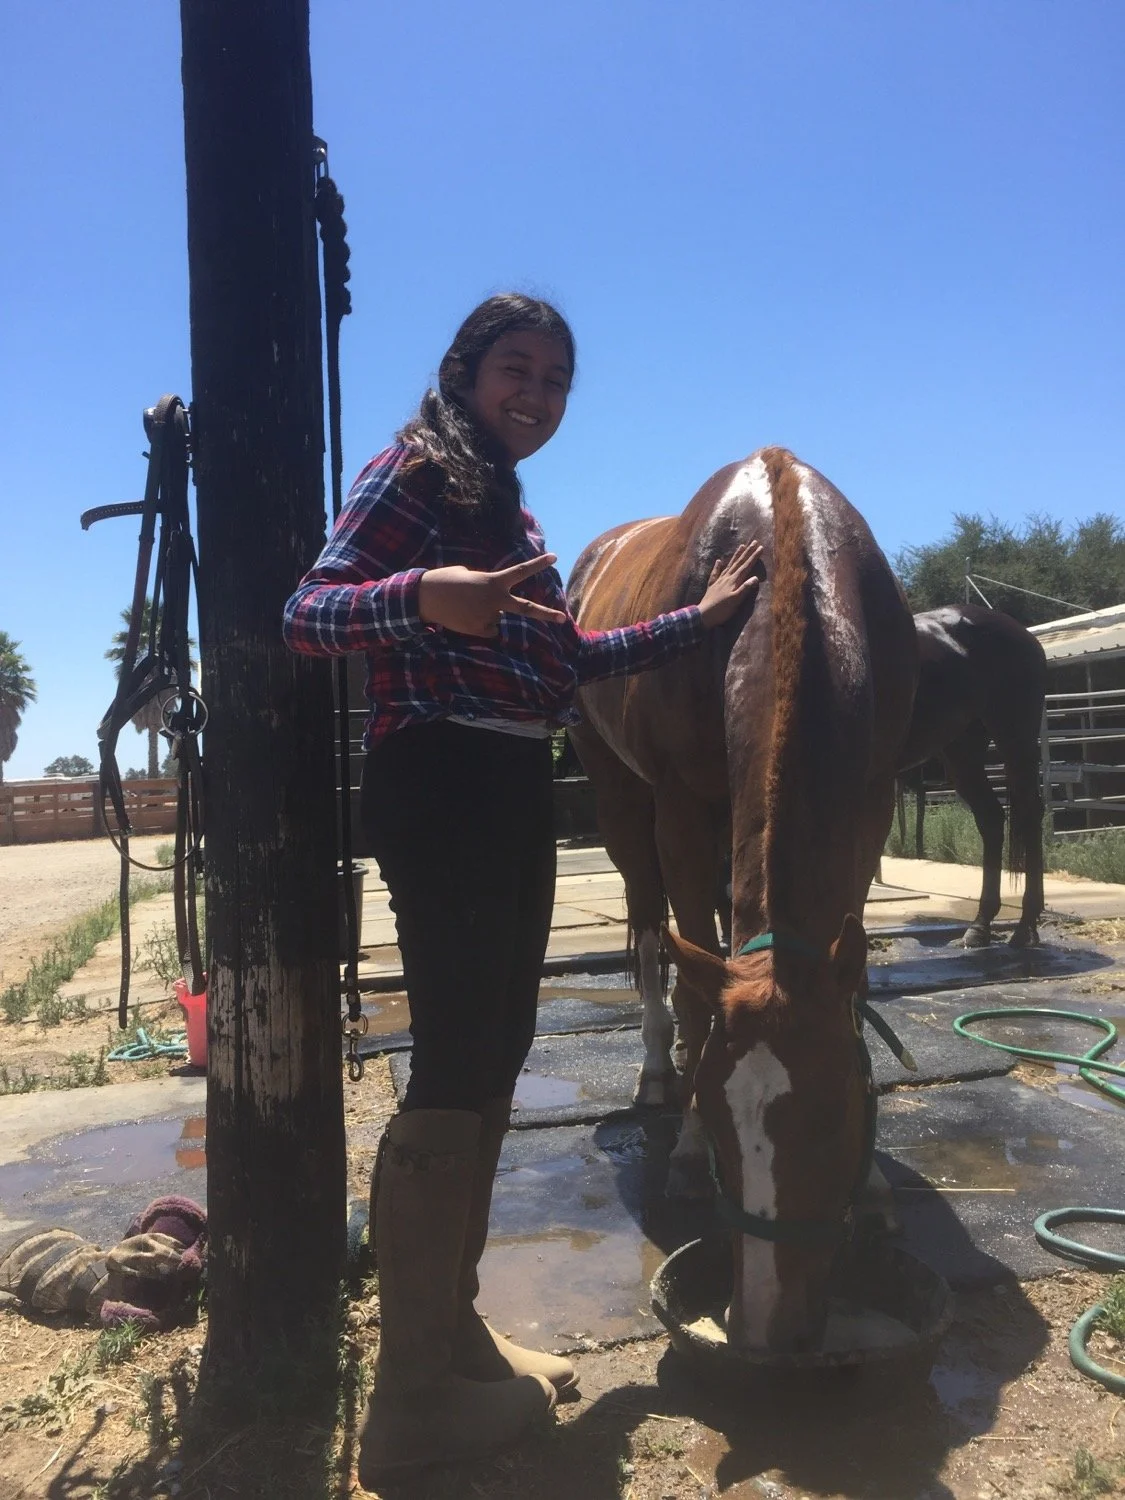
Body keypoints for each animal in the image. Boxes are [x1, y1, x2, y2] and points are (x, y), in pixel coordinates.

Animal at [567, 447, 917, 1351]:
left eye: (835, 1116)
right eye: (725, 1132)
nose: (763, 1322)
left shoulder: (869, 801)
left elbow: (844, 977)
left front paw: (872, 1188)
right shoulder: (680, 809)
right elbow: (696, 986)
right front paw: (687, 1144)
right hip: (620, 800)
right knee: (652, 933)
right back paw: (658, 1068)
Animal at [895, 605, 1047, 948]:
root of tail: (1023, 634)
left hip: (1015, 742)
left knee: (1029, 814)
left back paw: (1024, 927)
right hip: (962, 755)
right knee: (991, 818)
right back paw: (980, 925)